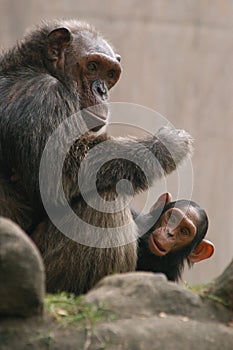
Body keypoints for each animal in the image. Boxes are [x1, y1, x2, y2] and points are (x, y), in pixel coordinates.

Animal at [0, 19, 193, 296]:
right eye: (92, 67)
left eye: (110, 74)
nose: (101, 91)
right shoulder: (44, 97)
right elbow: (63, 174)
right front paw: (166, 145)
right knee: (106, 194)